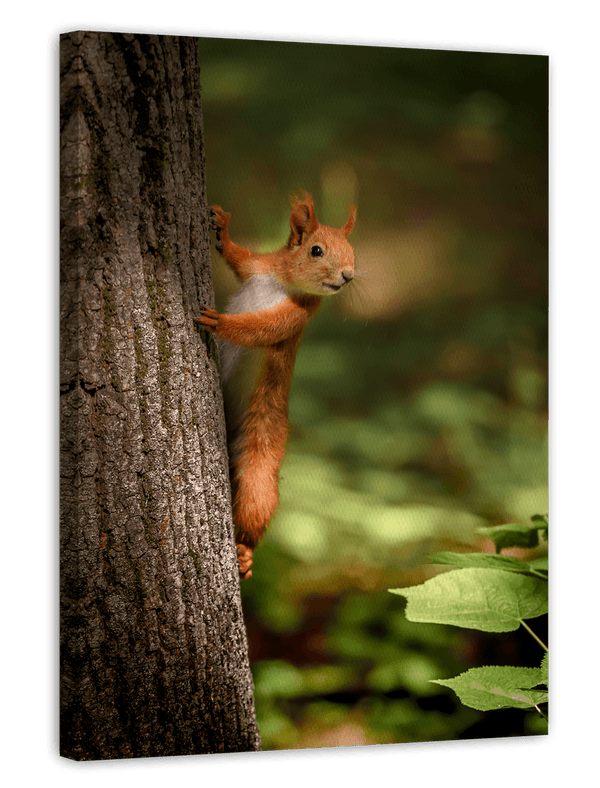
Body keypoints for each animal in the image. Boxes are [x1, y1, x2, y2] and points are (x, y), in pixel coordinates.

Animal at [195, 191, 357, 579]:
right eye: (316, 250)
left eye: (353, 251)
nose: (348, 276)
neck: (285, 283)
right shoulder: (259, 267)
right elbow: (238, 258)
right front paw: (221, 227)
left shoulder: (296, 316)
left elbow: (258, 328)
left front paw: (220, 322)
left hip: (261, 457)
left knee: (255, 505)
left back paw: (244, 553)